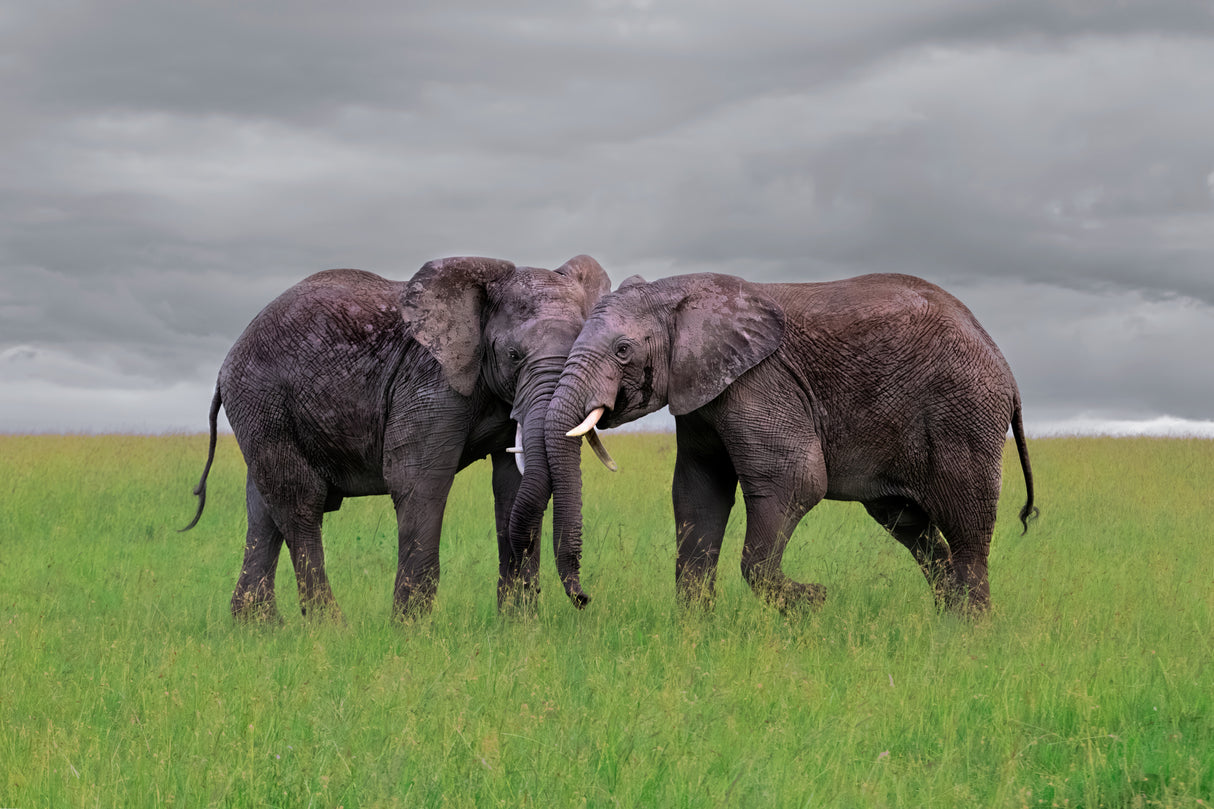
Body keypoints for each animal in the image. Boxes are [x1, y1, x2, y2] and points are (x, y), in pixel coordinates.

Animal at [182, 254, 615, 621]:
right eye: (513, 356)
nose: (583, 598)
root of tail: (227, 360)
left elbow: (512, 486)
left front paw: (518, 627)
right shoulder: (429, 382)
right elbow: (419, 481)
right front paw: (412, 629)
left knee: (262, 509)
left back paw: (260, 628)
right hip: (263, 398)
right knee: (299, 501)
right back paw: (329, 628)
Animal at [534, 271, 1036, 613]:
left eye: (623, 351)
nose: (584, 598)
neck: (683, 294)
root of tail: (1004, 363)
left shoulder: (759, 381)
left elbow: (795, 481)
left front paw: (813, 600)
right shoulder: (701, 391)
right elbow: (698, 493)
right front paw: (695, 631)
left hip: (963, 415)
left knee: (966, 530)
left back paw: (970, 635)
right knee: (912, 529)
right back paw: (947, 623)